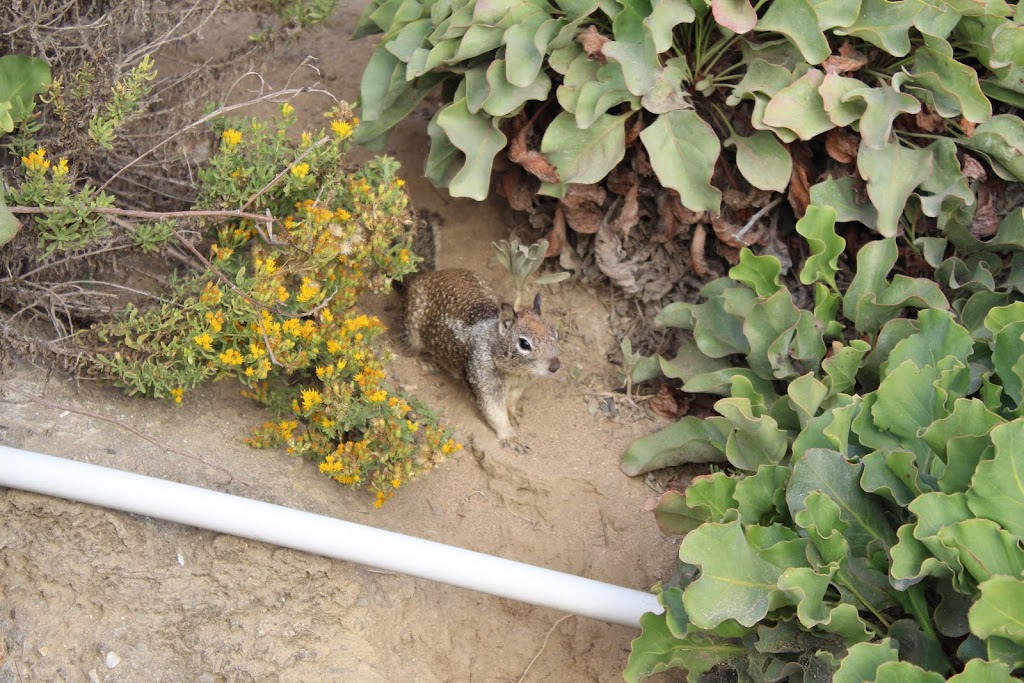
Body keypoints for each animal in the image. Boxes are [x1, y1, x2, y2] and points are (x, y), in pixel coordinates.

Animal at [401, 268, 561, 454]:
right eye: (524, 344)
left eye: (555, 333)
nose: (556, 365)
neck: (515, 372)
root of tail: (426, 275)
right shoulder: (486, 379)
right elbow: (495, 411)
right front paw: (511, 438)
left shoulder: (519, 385)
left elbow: (511, 401)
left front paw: (513, 413)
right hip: (413, 328)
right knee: (411, 350)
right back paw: (427, 362)